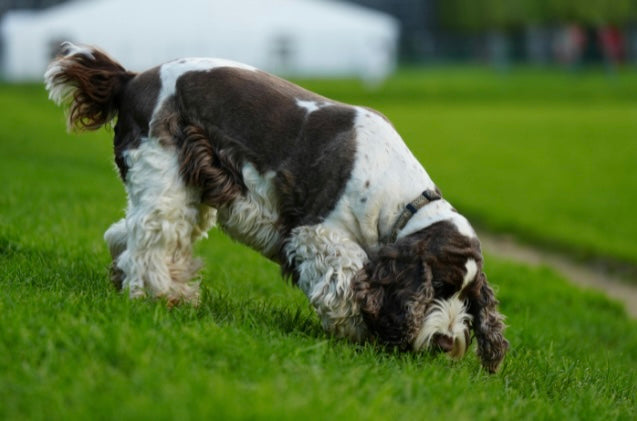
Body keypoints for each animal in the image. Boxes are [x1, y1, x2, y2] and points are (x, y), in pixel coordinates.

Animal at [44, 41, 510, 370]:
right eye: (439, 288)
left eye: (469, 300)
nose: (447, 343)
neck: (402, 202)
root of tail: (131, 78)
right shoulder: (318, 233)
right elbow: (345, 282)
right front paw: (358, 333)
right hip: (164, 174)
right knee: (149, 240)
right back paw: (160, 297)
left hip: (183, 186)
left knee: (125, 233)